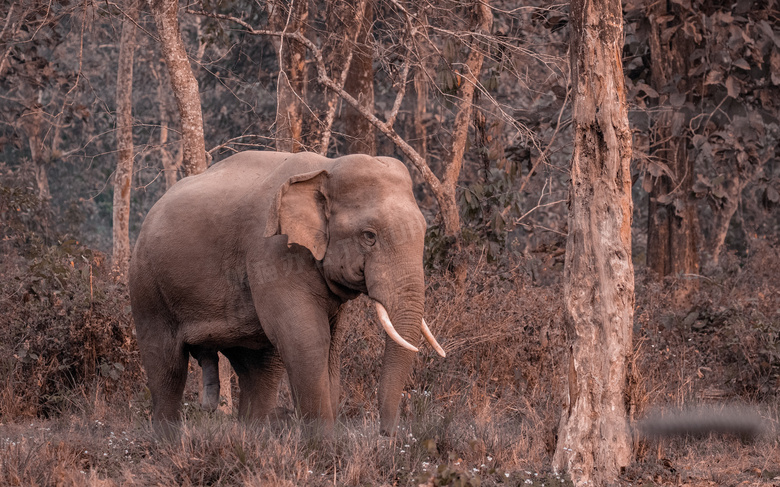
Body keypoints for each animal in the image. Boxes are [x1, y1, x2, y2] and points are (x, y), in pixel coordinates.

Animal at [129, 151, 444, 436]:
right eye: (369, 236)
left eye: (423, 231)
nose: (386, 434)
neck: (325, 168)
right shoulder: (273, 253)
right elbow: (307, 340)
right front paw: (323, 449)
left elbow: (330, 345)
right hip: (147, 287)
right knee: (167, 367)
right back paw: (168, 447)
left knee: (260, 370)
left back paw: (250, 440)